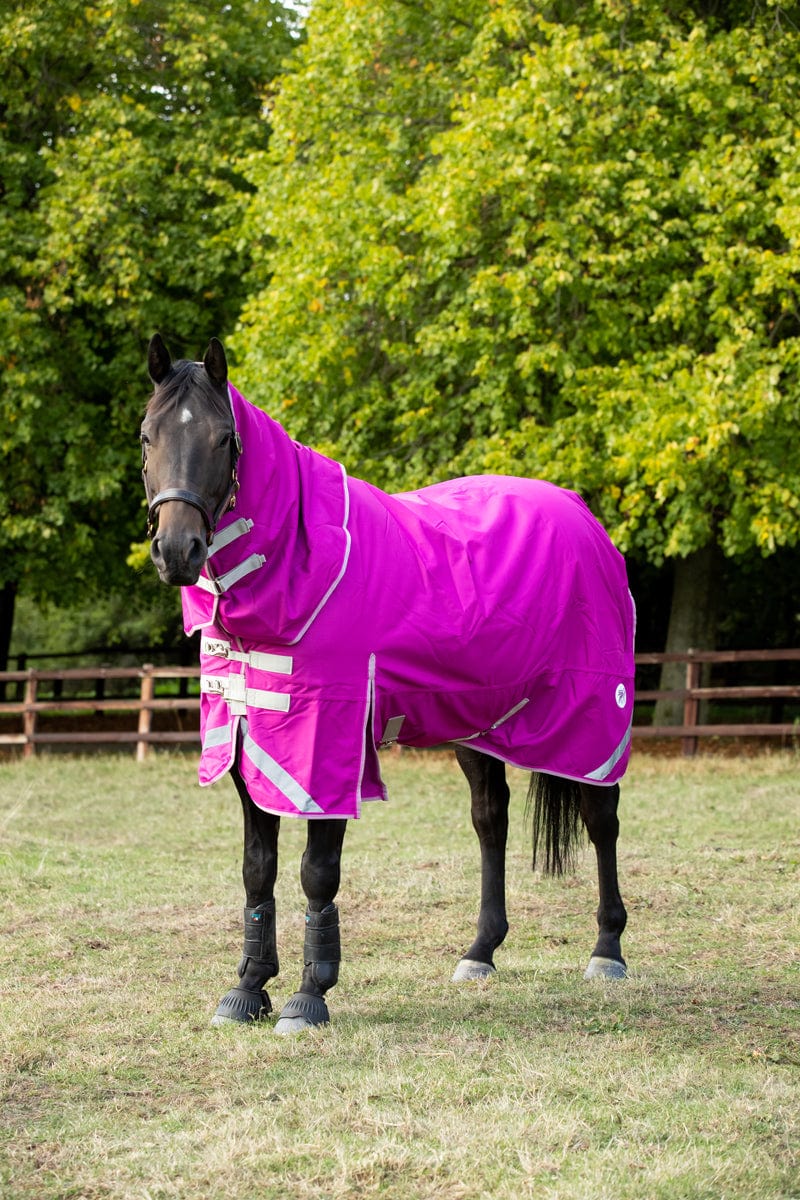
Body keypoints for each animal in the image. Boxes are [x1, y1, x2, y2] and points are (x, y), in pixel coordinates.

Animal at [141, 333, 634, 1033]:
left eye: (222, 439)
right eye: (147, 436)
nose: (177, 550)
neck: (301, 564)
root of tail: (582, 516)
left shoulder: (324, 746)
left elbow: (317, 871)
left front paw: (308, 997)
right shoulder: (244, 737)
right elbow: (257, 869)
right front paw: (247, 989)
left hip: (591, 719)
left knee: (601, 818)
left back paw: (607, 950)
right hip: (481, 726)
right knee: (491, 820)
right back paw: (481, 951)